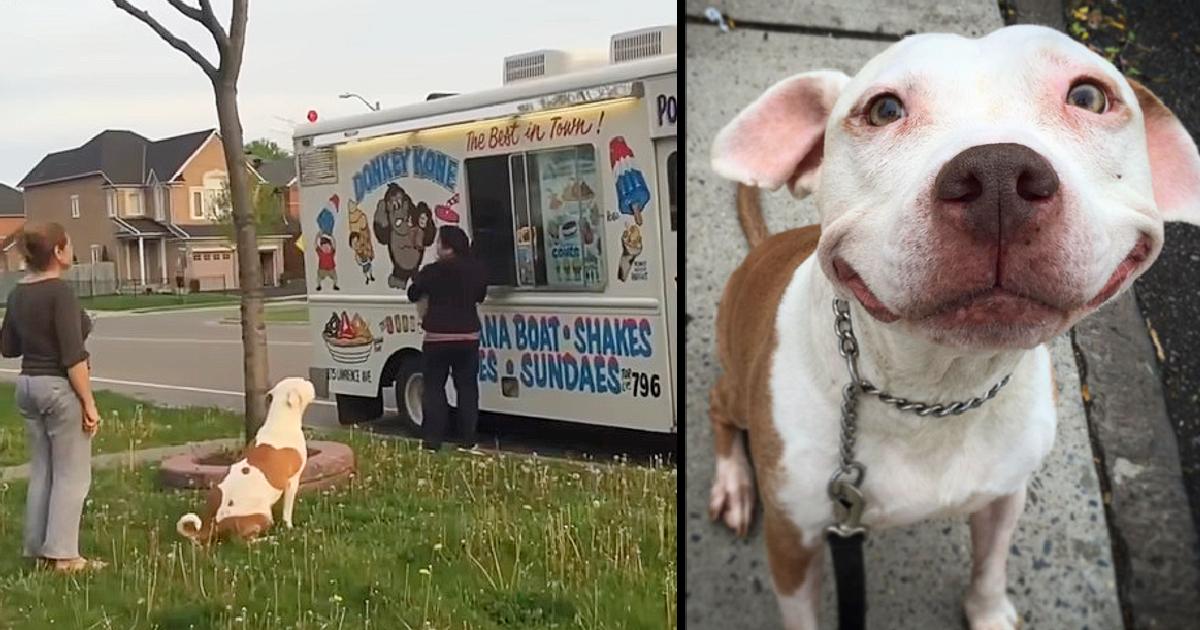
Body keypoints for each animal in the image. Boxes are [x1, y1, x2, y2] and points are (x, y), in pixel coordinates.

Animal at [177, 376, 316, 542]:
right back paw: (270, 539)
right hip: (262, 515)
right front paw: (289, 527)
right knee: (245, 541)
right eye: (302, 382)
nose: (309, 381)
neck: (280, 421)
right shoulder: (292, 482)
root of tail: (213, 524)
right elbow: (287, 511)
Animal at [705, 25, 1200, 628]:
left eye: (1088, 97)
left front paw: (988, 613)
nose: (998, 175)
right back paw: (733, 483)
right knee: (717, 405)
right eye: (884, 109)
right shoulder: (791, 538)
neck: (937, 391)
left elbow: (989, 566)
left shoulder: (1005, 492)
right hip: (737, 388)